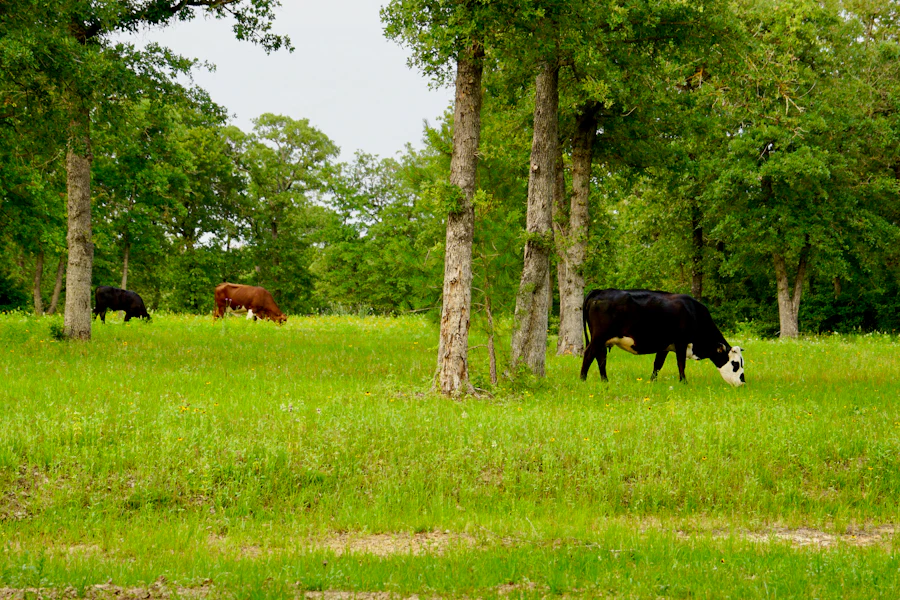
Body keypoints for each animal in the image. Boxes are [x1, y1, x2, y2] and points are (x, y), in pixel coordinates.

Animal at [581, 289, 744, 386]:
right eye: (735, 364)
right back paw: (582, 379)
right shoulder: (681, 342)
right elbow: (681, 363)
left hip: (602, 340)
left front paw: (652, 381)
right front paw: (684, 382)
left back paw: (605, 381)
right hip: (598, 337)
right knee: (589, 355)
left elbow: (657, 365)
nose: (742, 382)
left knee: (601, 358)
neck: (693, 312)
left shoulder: (664, 346)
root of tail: (600, 291)